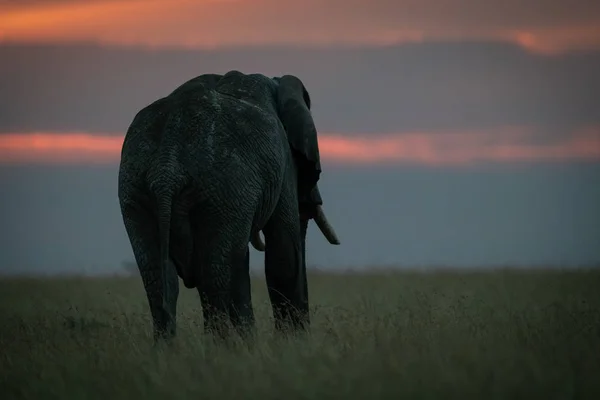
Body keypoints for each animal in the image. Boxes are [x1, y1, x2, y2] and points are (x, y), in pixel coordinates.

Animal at [117, 70, 340, 342]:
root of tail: (167, 166)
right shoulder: (284, 164)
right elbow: (284, 252)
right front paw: (292, 344)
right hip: (224, 185)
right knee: (217, 272)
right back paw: (229, 347)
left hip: (137, 188)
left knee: (160, 277)